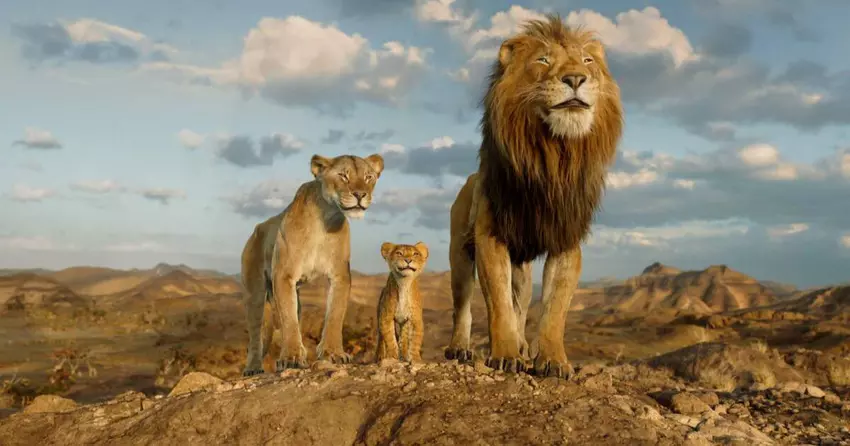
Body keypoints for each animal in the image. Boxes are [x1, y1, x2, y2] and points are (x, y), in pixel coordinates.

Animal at [240, 153, 384, 376]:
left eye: (368, 177)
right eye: (343, 175)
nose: (360, 194)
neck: (325, 218)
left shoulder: (340, 274)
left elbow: (335, 314)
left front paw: (333, 353)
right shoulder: (284, 275)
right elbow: (288, 320)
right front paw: (291, 358)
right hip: (255, 292)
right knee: (256, 332)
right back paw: (253, 368)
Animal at [445, 14, 623, 378]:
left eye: (588, 61)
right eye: (543, 60)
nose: (575, 78)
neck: (554, 157)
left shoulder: (566, 239)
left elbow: (554, 309)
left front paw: (552, 360)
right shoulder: (490, 236)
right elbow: (498, 304)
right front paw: (504, 355)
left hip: (522, 271)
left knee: (522, 304)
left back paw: (524, 346)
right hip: (459, 254)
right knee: (463, 306)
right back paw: (460, 348)